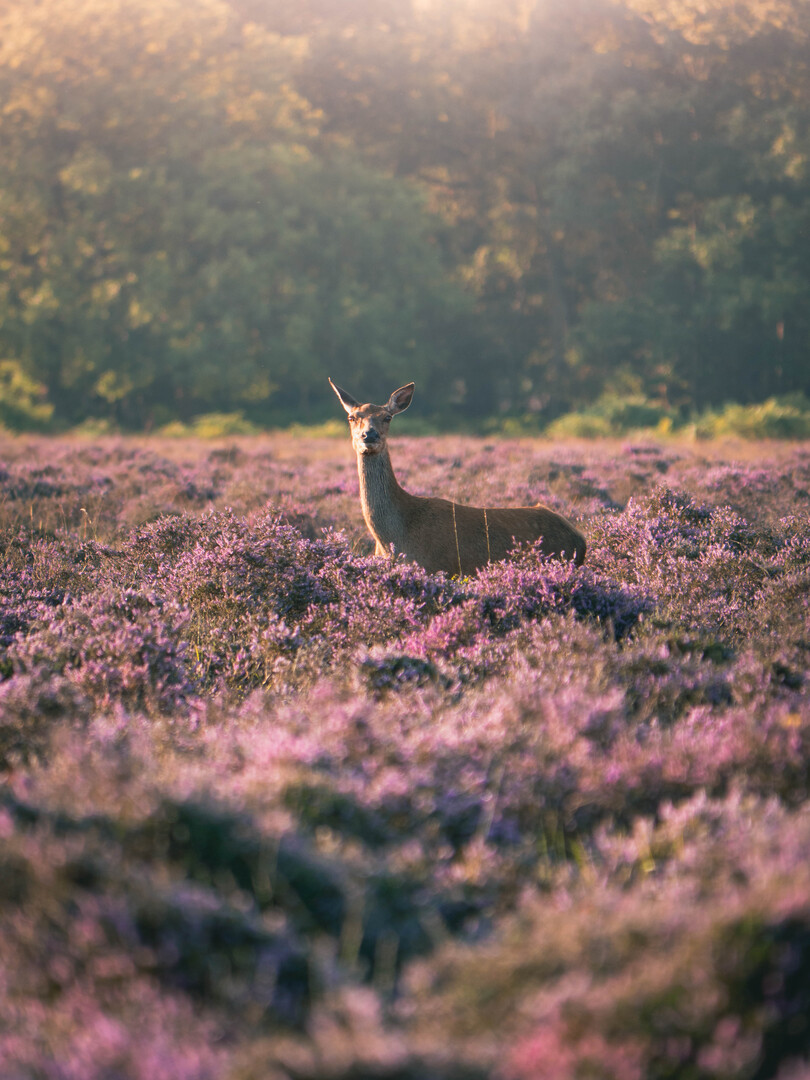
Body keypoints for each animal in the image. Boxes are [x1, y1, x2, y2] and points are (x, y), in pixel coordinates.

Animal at [329, 379, 586, 576]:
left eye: (387, 417)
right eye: (352, 417)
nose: (369, 435)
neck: (393, 538)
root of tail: (580, 539)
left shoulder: (437, 567)